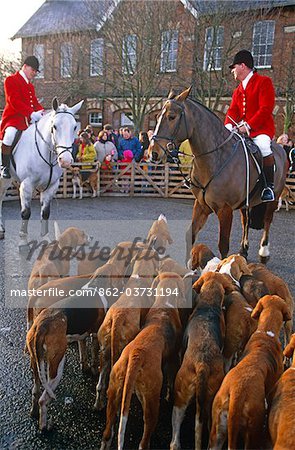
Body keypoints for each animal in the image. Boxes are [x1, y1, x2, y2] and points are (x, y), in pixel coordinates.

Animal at [0, 96, 84, 248]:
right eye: (54, 126)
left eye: (75, 127)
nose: (65, 160)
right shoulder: (26, 186)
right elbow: (26, 213)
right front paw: (23, 241)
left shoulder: (51, 186)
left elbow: (45, 213)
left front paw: (46, 239)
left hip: (7, 179)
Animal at [149, 87, 288, 264]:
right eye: (157, 117)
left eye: (171, 117)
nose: (153, 153)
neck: (215, 158)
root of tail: (279, 147)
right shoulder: (201, 205)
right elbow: (190, 235)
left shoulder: (225, 210)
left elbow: (223, 245)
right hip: (246, 202)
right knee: (245, 220)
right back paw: (243, 250)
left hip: (273, 199)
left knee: (268, 221)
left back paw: (264, 251)